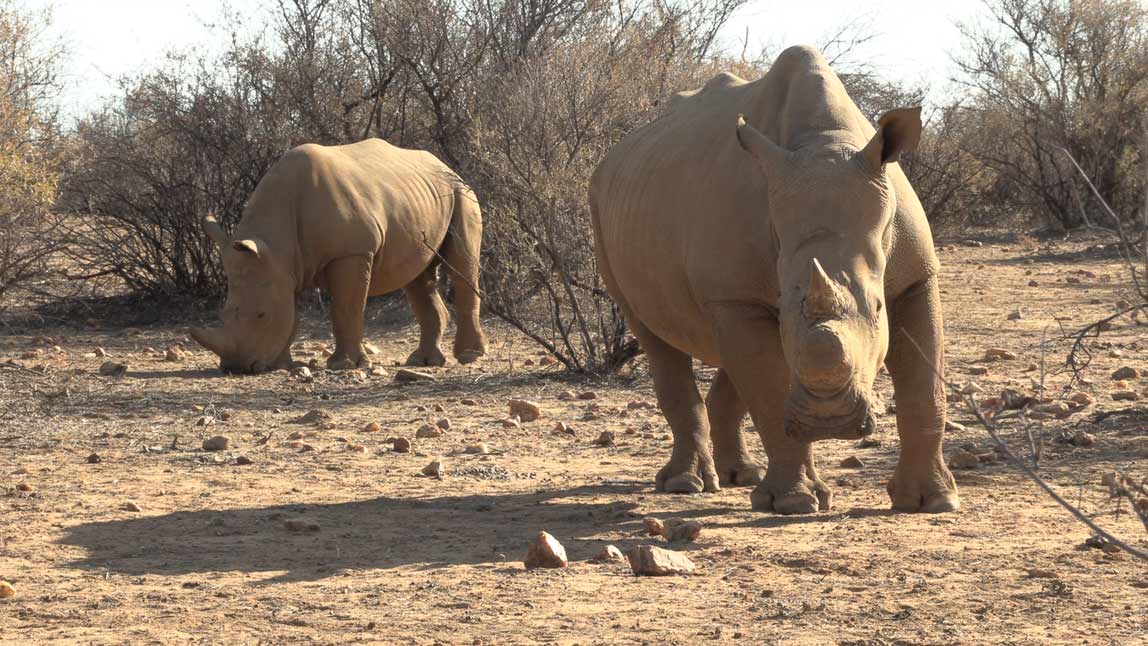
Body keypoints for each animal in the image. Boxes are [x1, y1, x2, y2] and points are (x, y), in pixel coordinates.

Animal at [190, 139, 487, 374]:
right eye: (223, 313)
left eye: (262, 315)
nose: (235, 367)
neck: (276, 237)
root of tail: (446, 166)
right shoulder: (283, 267)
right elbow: (291, 314)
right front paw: (281, 365)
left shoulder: (352, 253)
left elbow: (346, 308)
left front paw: (343, 365)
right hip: (419, 203)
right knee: (416, 274)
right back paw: (422, 362)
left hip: (462, 194)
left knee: (461, 265)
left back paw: (468, 356)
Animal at [589, 46, 959, 514]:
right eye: (784, 311)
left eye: (878, 309)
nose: (829, 421)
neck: (825, 143)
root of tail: (611, 158)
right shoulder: (736, 293)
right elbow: (768, 389)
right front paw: (793, 503)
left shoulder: (916, 276)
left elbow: (924, 388)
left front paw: (933, 501)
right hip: (602, 211)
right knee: (655, 338)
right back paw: (686, 485)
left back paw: (738, 476)